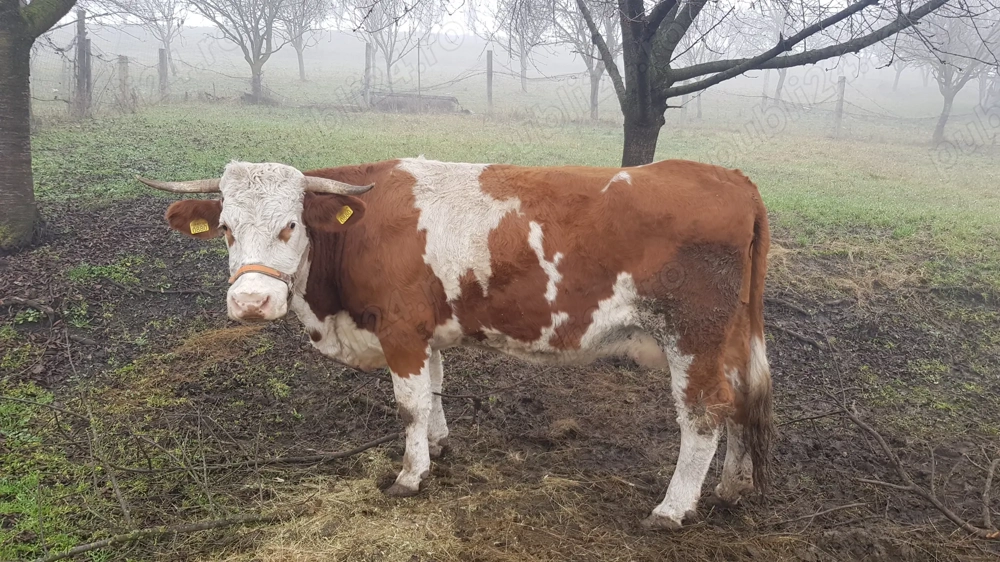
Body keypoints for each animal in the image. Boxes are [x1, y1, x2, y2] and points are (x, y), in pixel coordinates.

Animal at [138, 156, 774, 530]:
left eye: (289, 224)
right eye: (226, 228)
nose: (251, 303)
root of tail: (731, 177)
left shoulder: (400, 329)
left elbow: (409, 405)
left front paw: (410, 475)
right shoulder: (426, 332)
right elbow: (436, 391)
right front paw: (441, 449)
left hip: (692, 337)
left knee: (705, 416)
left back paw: (673, 507)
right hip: (732, 338)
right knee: (743, 401)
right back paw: (732, 488)